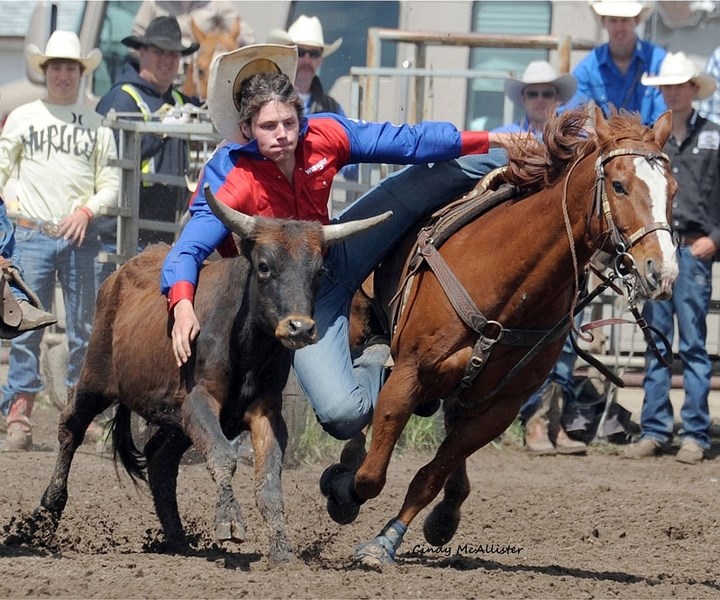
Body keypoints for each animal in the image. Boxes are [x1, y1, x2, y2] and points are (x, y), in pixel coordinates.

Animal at [324, 106, 676, 564]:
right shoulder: (410, 373)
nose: (662, 272)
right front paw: (342, 493)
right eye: (619, 185)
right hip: (360, 327)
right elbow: (370, 475)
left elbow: (430, 475)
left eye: (672, 190)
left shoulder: (501, 405)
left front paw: (392, 538)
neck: (508, 277)